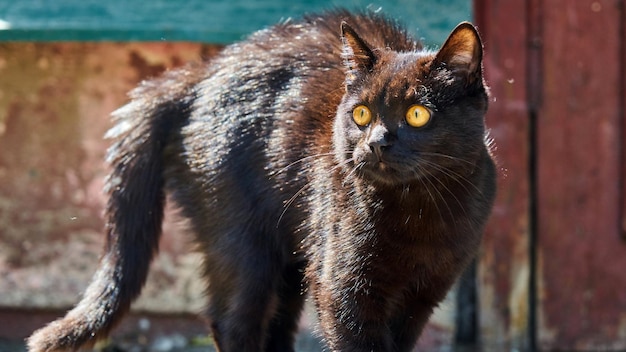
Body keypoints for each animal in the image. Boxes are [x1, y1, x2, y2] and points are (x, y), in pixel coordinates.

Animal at [28, 8, 492, 352]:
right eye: (361, 114)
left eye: (418, 114)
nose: (376, 142)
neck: (420, 211)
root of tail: (199, 75)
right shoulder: (343, 290)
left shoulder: (422, 297)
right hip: (243, 243)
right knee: (233, 321)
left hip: (291, 256)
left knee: (275, 327)